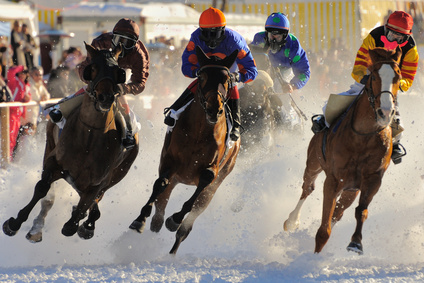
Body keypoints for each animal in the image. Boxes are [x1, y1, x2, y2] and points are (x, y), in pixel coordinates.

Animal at [2, 42, 139, 242]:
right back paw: (37, 227)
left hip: (120, 172)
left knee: (94, 201)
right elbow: (42, 188)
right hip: (49, 143)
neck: (89, 136)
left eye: (118, 72)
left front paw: (81, 223)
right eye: (93, 68)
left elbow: (77, 216)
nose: (105, 97)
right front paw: (14, 223)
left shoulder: (98, 181)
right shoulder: (54, 161)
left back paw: (87, 224)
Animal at [129, 46, 240, 255]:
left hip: (216, 184)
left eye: (227, 79)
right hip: (176, 178)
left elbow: (202, 183)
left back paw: (173, 249)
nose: (214, 109)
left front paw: (175, 219)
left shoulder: (213, 170)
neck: (199, 130)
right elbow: (160, 184)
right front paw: (139, 220)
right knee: (159, 214)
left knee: (188, 223)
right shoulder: (169, 161)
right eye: (202, 77)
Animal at [284, 46, 400, 255]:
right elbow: (324, 227)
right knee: (307, 188)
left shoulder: (372, 179)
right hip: (313, 163)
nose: (385, 112)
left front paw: (356, 243)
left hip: (351, 189)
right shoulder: (334, 179)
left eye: (398, 76)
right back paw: (291, 221)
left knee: (338, 211)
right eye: (374, 76)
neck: (363, 137)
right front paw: (314, 255)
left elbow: (360, 211)